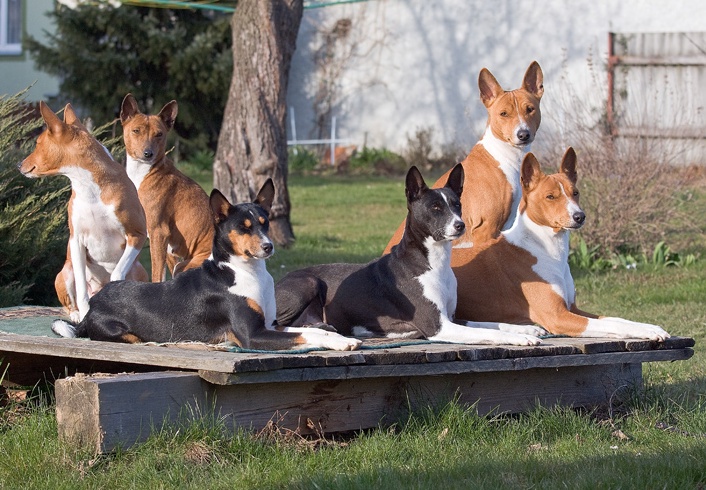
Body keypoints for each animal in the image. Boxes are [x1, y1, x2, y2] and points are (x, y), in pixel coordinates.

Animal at [18, 102, 147, 322]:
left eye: (37, 143)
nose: (19, 164)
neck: (90, 189)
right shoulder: (76, 240)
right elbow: (80, 288)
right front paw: (86, 314)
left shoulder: (137, 234)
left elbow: (117, 274)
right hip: (63, 273)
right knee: (71, 300)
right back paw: (77, 315)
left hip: (140, 270)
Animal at [53, 180, 364, 352]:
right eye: (244, 227)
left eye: (265, 224)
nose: (268, 247)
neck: (246, 273)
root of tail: (92, 306)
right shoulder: (251, 335)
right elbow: (305, 335)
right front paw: (339, 343)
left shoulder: (269, 324)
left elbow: (314, 330)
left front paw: (339, 337)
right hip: (121, 331)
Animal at [119, 93, 213, 282]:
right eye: (136, 131)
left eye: (159, 134)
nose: (148, 154)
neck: (143, 174)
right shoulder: (168, 248)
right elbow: (161, 277)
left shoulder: (158, 233)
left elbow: (156, 275)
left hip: (186, 266)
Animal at [276, 165, 540, 344]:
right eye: (436, 207)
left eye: (457, 204)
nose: (460, 225)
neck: (434, 264)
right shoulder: (438, 326)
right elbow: (486, 332)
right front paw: (521, 339)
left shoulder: (451, 318)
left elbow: (492, 324)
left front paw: (527, 329)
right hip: (309, 282)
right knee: (276, 326)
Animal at [456, 147, 672, 340]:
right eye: (550, 196)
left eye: (575, 193)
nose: (579, 216)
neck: (548, 251)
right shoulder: (557, 315)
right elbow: (611, 324)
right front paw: (648, 332)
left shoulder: (573, 308)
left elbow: (615, 319)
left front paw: (650, 327)